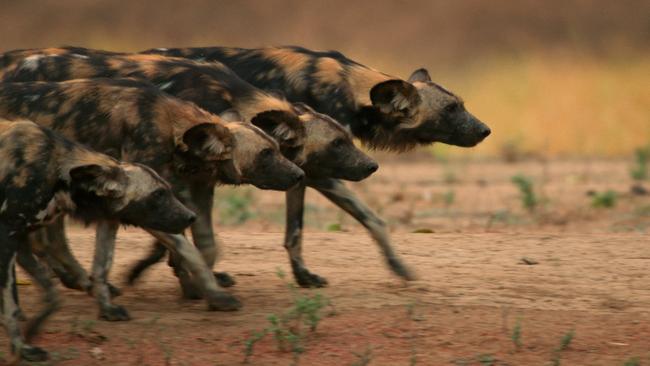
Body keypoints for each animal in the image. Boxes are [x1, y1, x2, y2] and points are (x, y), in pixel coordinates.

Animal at [0, 119, 192, 360]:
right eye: (158, 194)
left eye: (168, 190)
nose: (191, 217)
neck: (57, 174)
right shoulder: (7, 238)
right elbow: (11, 303)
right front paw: (22, 348)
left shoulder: (22, 241)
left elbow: (58, 292)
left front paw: (34, 329)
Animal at [144, 45, 492, 286]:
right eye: (450, 109)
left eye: (461, 104)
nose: (486, 130)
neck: (350, 89)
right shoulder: (318, 171)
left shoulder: (303, 172)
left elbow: (312, 230)